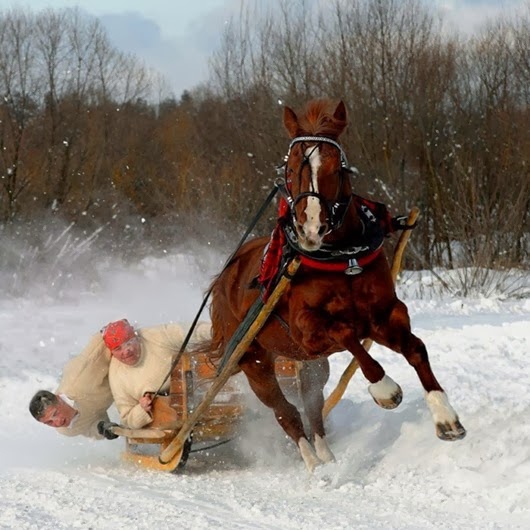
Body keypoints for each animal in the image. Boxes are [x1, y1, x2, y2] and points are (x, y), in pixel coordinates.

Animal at [206, 99, 462, 470]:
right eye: (291, 166)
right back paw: (313, 465)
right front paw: (385, 389)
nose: (311, 227)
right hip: (254, 361)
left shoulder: (384, 315)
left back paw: (326, 456)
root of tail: (225, 276)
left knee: (312, 407)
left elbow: (416, 349)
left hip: (309, 364)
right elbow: (347, 335)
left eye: (337, 167)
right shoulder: (307, 331)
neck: (343, 259)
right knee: (286, 413)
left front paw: (445, 417)